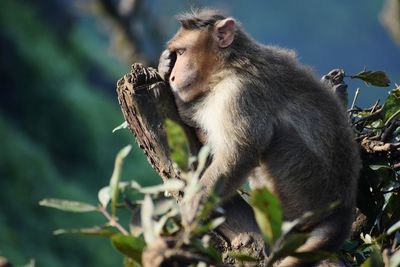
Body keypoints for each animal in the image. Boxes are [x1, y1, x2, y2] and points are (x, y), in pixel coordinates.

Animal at [159, 8, 360, 267]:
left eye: (183, 52)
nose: (174, 76)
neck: (228, 66)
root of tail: (343, 209)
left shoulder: (240, 93)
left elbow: (240, 153)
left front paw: (194, 208)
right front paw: (164, 67)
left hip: (303, 187)